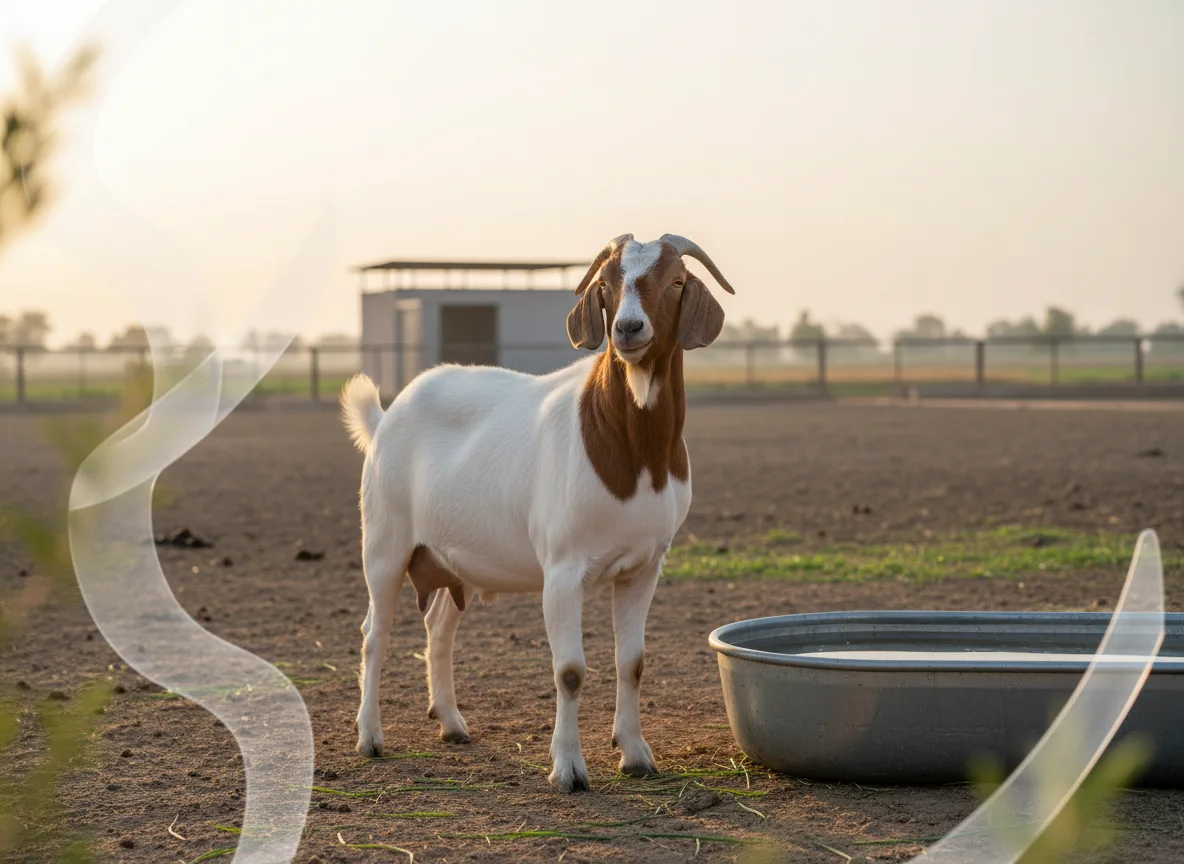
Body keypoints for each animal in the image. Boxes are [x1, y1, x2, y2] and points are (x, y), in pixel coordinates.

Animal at [340, 233, 735, 792]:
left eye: (676, 281)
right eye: (605, 284)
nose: (628, 329)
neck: (633, 451)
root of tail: (384, 418)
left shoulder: (644, 567)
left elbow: (632, 662)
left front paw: (635, 754)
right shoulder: (563, 570)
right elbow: (569, 670)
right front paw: (567, 768)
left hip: (456, 559)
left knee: (438, 626)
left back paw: (451, 723)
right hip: (384, 542)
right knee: (374, 634)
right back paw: (370, 738)